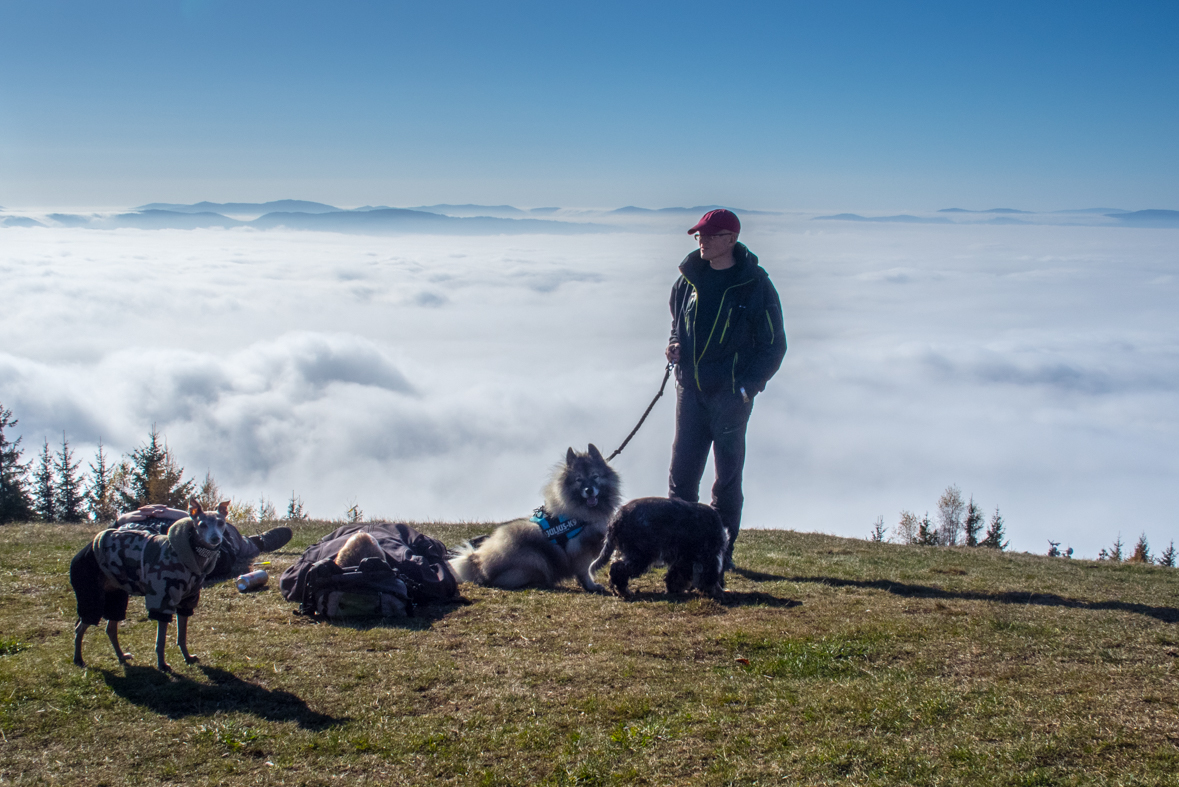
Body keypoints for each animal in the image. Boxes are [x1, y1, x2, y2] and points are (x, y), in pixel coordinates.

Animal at [70, 497, 227, 669]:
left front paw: (187, 657)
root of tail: (84, 550)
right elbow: (161, 640)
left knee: (110, 629)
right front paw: (162, 664)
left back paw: (121, 656)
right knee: (79, 628)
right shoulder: (162, 601)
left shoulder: (187, 602)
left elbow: (182, 636)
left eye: (221, 523)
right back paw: (78, 659)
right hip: (92, 598)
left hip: (116, 597)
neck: (192, 556)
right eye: (202, 524)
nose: (215, 539)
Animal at [445, 442, 622, 589]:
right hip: (535, 559)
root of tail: (478, 562)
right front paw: (591, 586)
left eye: (595, 476)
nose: (589, 490)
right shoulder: (580, 551)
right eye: (579, 480)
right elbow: (585, 571)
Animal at [589, 497, 726, 603]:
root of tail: (617, 518)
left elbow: (676, 575)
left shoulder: (684, 558)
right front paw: (716, 590)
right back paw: (624, 591)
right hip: (641, 554)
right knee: (618, 568)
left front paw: (673, 589)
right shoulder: (707, 555)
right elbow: (709, 575)